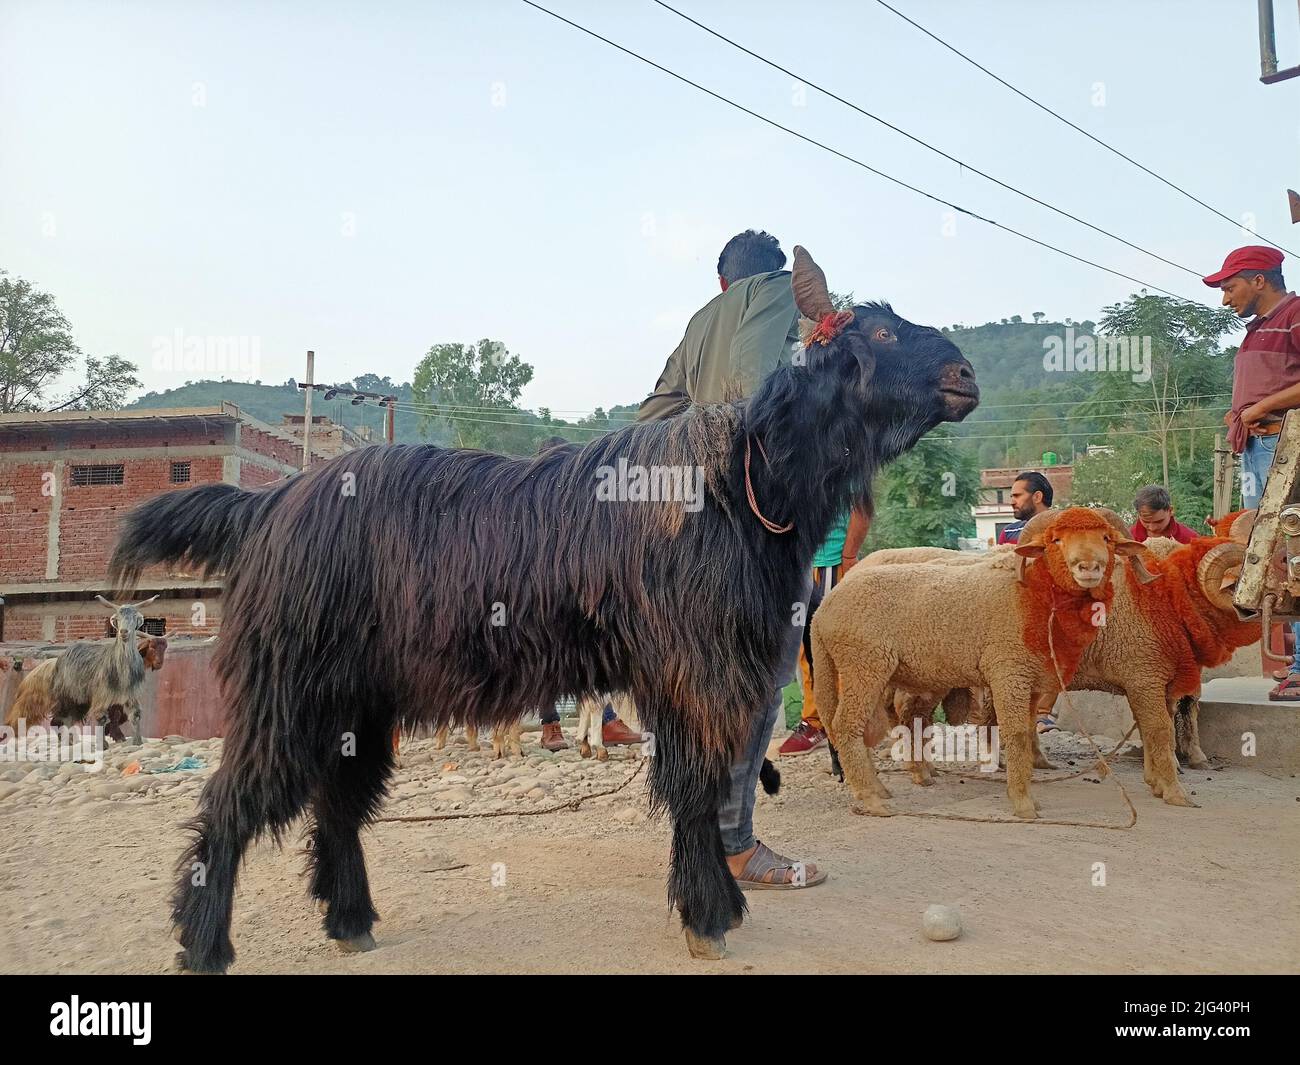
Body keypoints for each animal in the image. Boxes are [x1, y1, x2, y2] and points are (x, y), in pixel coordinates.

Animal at [106, 245, 977, 972]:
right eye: (880, 330)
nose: (965, 373)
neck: (740, 481)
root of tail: (268, 504)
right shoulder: (694, 668)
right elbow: (696, 787)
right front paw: (706, 915)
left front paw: (717, 903)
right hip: (286, 687)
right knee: (232, 802)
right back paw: (205, 944)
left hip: (358, 696)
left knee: (339, 803)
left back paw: (350, 920)